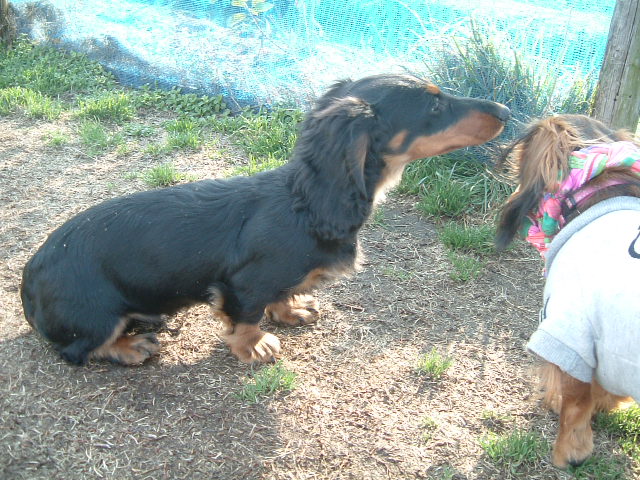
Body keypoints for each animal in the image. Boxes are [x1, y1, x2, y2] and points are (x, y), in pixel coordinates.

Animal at [21, 73, 510, 366]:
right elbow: (248, 316)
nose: (506, 112)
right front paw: (254, 345)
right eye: (433, 107)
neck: (305, 204)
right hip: (97, 313)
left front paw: (291, 309)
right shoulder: (242, 284)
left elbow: (282, 295)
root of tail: (28, 285)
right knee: (77, 348)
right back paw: (129, 346)